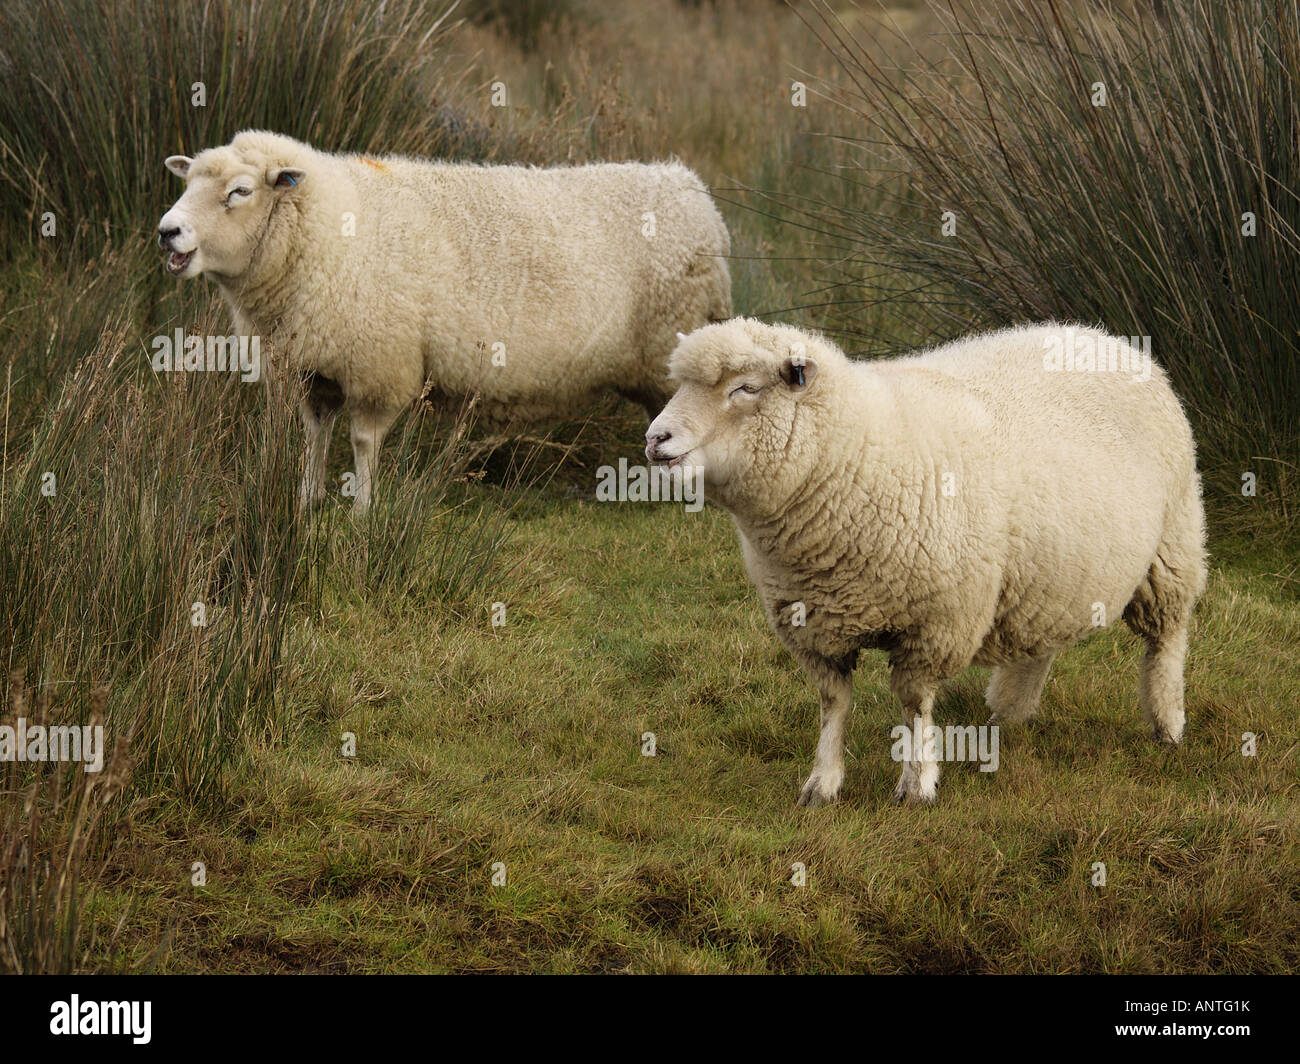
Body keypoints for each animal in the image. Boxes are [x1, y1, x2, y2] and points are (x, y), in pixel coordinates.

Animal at [157, 130, 733, 512]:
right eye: (189, 183)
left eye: (240, 191)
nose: (167, 231)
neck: (326, 236)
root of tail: (693, 189)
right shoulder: (312, 369)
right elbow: (314, 437)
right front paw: (307, 501)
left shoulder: (379, 365)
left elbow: (363, 443)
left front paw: (362, 513)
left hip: (669, 343)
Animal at [647, 314, 1206, 806]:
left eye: (745, 388)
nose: (655, 439)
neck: (853, 456)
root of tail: (1105, 336)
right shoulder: (813, 626)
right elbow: (833, 704)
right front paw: (822, 785)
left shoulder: (937, 623)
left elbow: (914, 704)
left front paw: (917, 786)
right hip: (1049, 568)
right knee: (1041, 638)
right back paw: (1011, 711)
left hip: (1171, 547)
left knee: (1167, 640)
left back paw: (1169, 725)